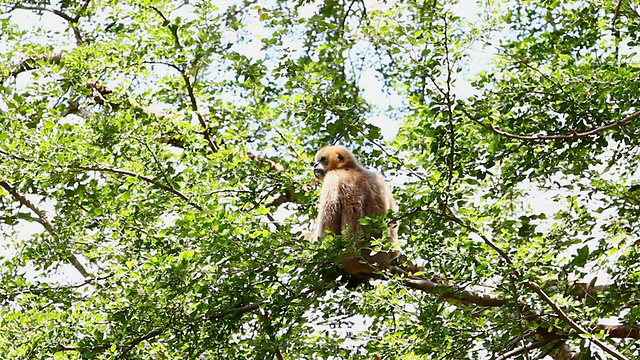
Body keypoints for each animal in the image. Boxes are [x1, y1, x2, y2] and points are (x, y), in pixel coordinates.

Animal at [314, 145, 402, 286]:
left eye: (322, 159)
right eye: (317, 161)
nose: (315, 165)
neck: (351, 168)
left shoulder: (332, 179)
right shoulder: (378, 177)